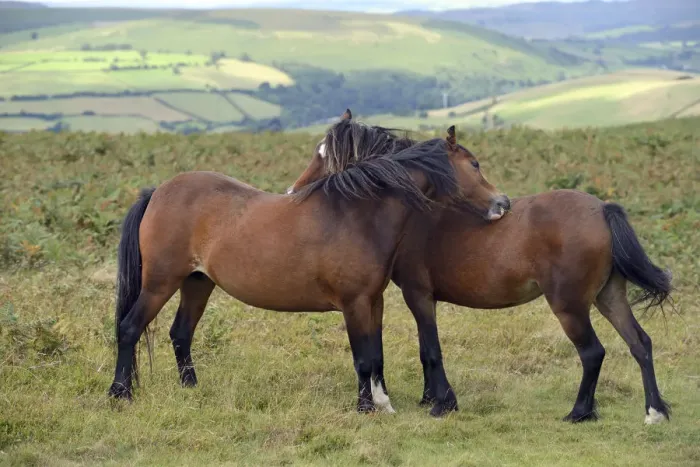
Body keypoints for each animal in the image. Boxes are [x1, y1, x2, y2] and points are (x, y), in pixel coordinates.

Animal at [107, 111, 510, 415]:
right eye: (474, 164)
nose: (502, 203)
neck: (357, 212)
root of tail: (158, 192)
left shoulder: (374, 301)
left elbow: (376, 354)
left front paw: (383, 402)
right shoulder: (354, 303)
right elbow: (363, 358)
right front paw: (366, 408)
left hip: (197, 282)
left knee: (180, 334)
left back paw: (190, 389)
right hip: (159, 283)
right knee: (129, 329)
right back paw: (119, 394)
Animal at [287, 111, 673, 424]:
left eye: (324, 155)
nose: (294, 192)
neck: (415, 210)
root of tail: (602, 209)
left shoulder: (418, 294)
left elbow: (431, 350)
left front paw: (442, 404)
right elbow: (424, 350)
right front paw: (429, 397)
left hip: (570, 306)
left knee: (593, 352)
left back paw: (580, 412)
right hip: (609, 296)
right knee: (640, 343)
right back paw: (654, 411)